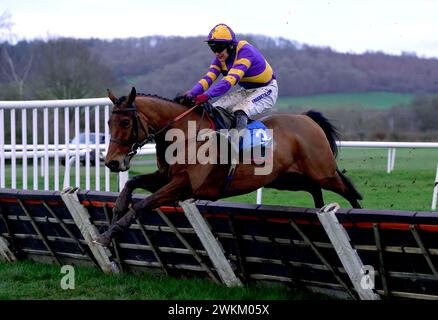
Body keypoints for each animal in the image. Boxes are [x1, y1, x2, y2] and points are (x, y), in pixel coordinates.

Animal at [95, 86, 362, 246]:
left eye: (126, 122)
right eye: (108, 122)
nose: (112, 162)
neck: (185, 135)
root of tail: (306, 118)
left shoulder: (185, 184)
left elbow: (143, 204)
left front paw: (108, 235)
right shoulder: (165, 176)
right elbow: (131, 183)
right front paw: (116, 211)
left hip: (322, 171)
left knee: (347, 188)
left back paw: (355, 216)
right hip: (287, 179)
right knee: (315, 190)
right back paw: (321, 212)